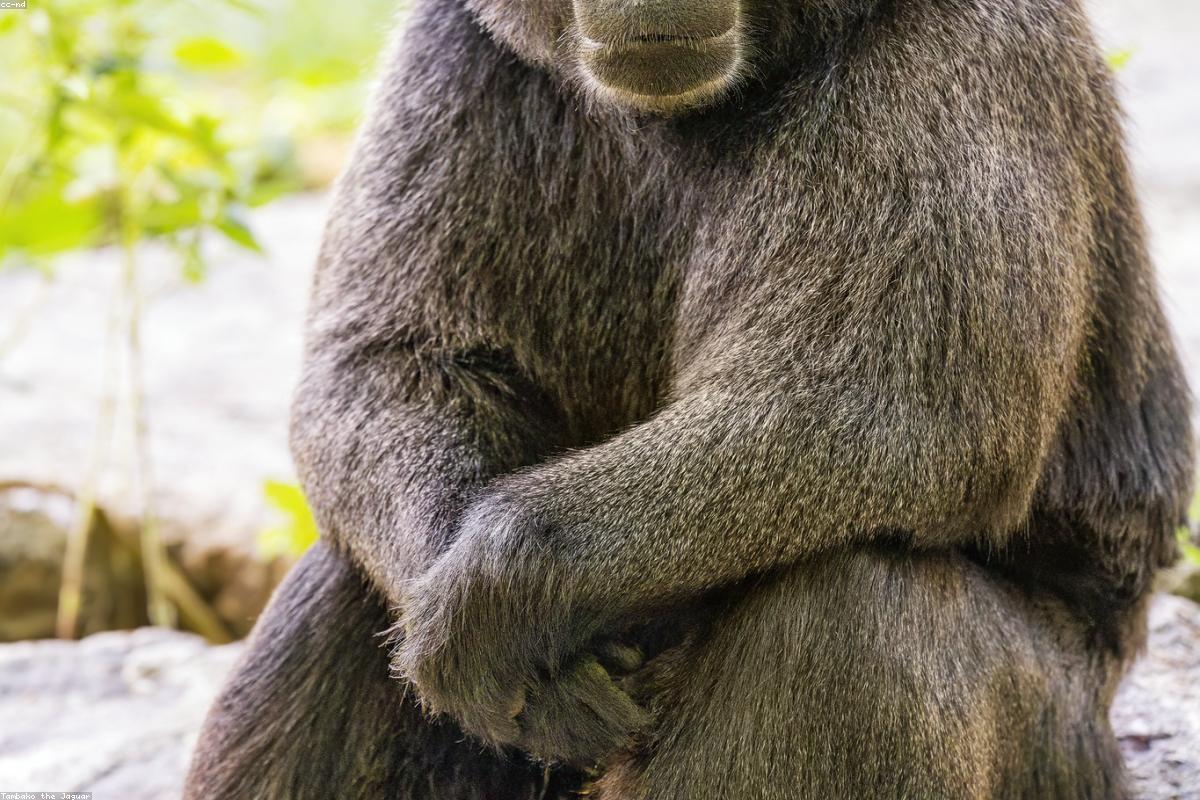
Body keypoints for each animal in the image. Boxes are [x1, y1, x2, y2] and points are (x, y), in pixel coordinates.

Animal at [185, 0, 1194, 796]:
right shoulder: (456, 45)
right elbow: (388, 359)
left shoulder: (975, 51)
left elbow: (901, 413)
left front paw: (505, 585)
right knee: (353, 580)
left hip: (1055, 735)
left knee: (858, 624)